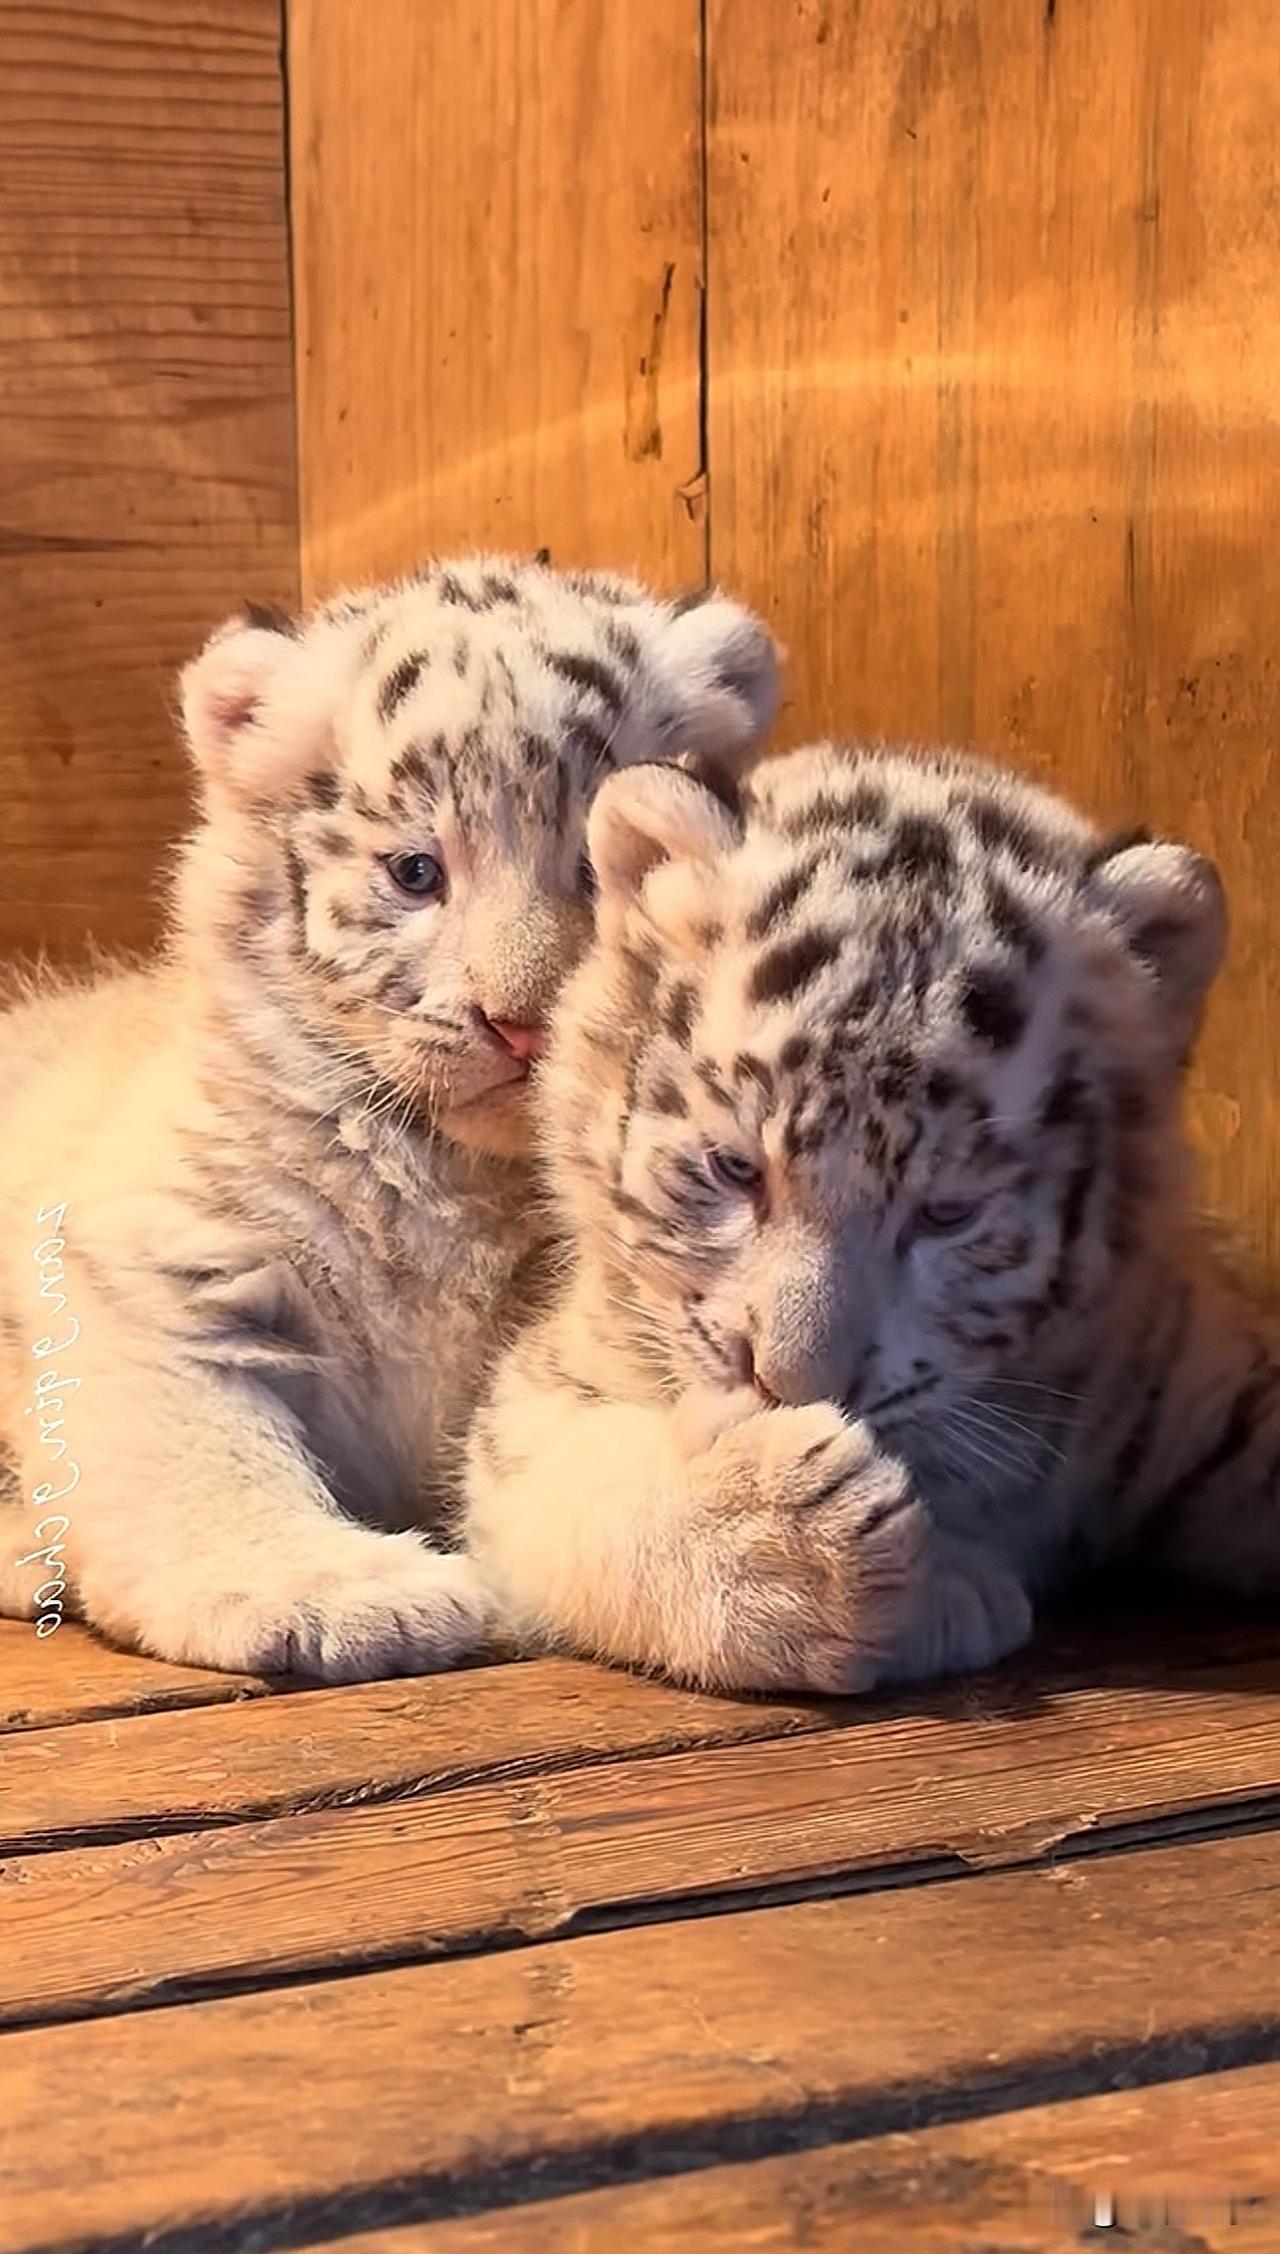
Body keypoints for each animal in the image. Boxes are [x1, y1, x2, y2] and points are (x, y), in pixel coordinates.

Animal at [0, 557, 778, 1678]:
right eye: (416, 872)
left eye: (594, 867)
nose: (520, 1024)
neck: (456, 1179)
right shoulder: (157, 1260)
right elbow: (197, 1450)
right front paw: (332, 1593)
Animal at [464, 740, 1280, 1694]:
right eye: (735, 1169)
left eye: (949, 1212)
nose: (793, 1389)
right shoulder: (542, 1396)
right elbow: (576, 1486)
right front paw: (801, 1539)